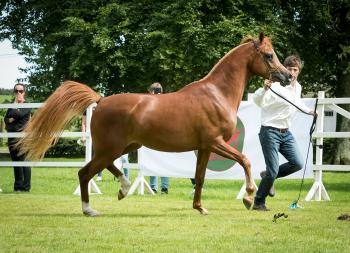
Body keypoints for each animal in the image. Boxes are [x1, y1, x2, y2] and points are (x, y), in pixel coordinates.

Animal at [16, 32, 292, 216]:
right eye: (269, 55)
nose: (287, 76)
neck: (216, 94)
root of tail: (100, 100)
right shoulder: (216, 142)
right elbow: (245, 160)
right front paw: (248, 196)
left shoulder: (204, 148)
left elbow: (200, 177)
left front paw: (200, 207)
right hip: (110, 148)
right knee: (85, 173)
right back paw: (90, 209)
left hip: (122, 148)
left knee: (107, 169)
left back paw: (123, 190)